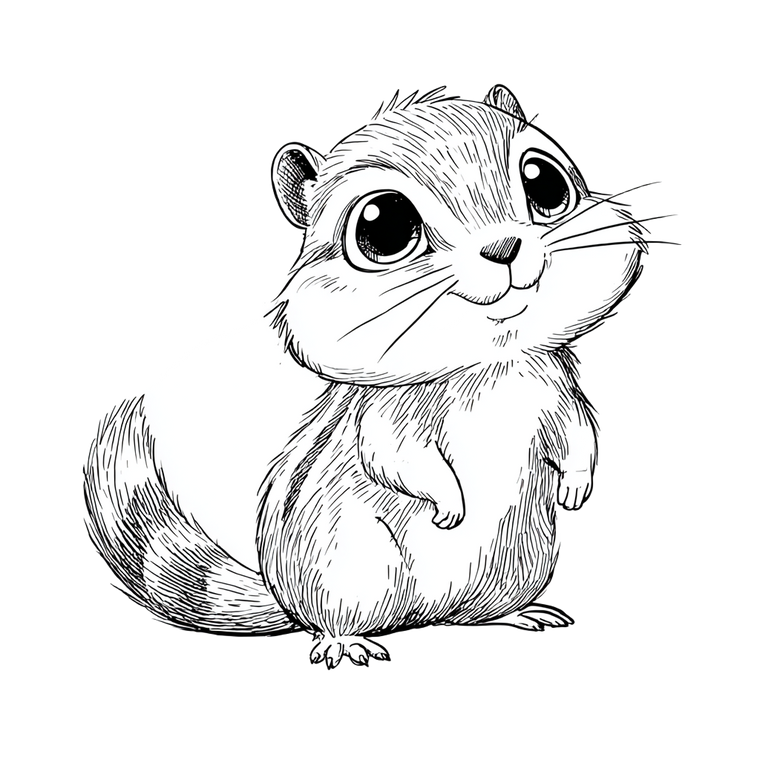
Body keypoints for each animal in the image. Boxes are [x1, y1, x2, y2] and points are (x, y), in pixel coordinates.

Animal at [80, 81, 681, 669]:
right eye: (385, 227)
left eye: (546, 183)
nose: (505, 247)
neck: (487, 366)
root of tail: (422, 618)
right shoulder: (388, 417)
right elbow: (395, 457)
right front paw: (449, 503)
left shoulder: (556, 391)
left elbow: (582, 433)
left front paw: (576, 489)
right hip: (347, 570)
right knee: (335, 620)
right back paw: (348, 645)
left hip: (520, 567)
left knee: (479, 611)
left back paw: (520, 614)